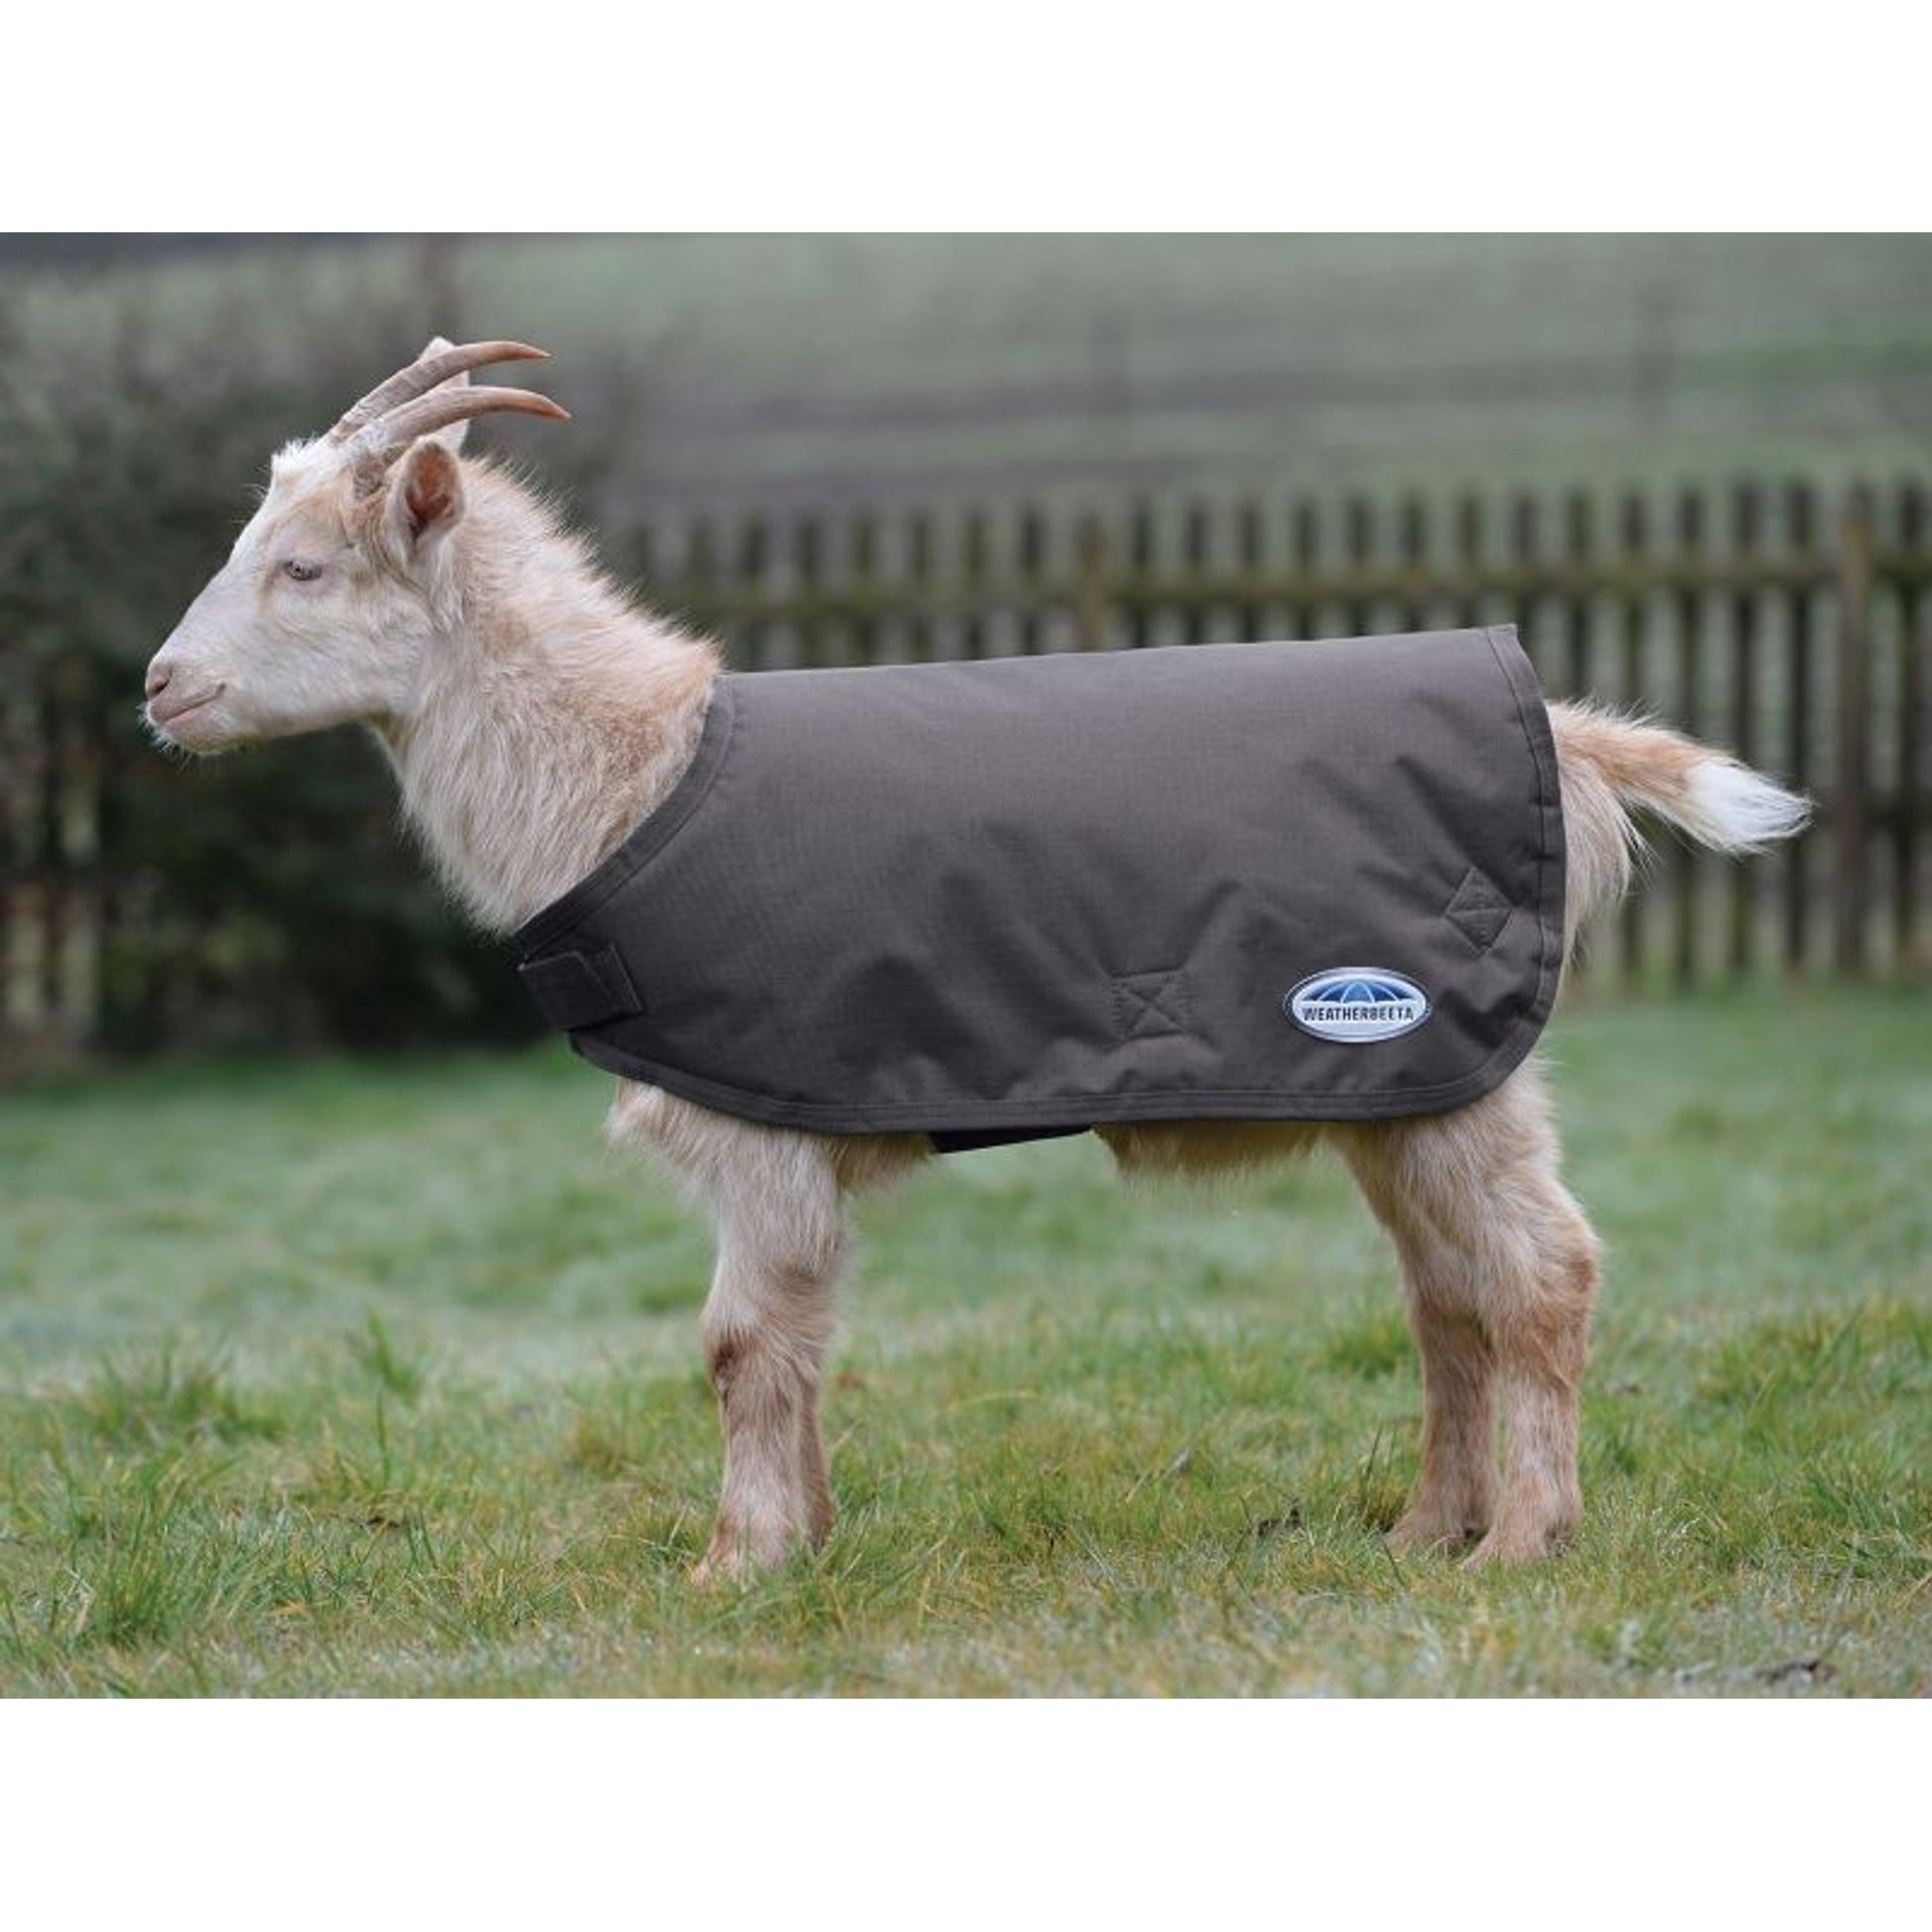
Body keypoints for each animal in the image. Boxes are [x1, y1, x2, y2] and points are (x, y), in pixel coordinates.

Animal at [144, 339, 1809, 1578]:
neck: (634, 775)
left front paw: (732, 1567)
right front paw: (806, 1541)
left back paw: (1520, 1544)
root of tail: (1566, 734)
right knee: (1443, 1296)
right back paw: (1419, 1531)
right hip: (1402, 1085)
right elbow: (802, 1337)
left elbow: (739, 1342)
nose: (160, 686)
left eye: (302, 567)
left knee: (1539, 1272)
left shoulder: (754, 1126)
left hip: (1452, 1063)